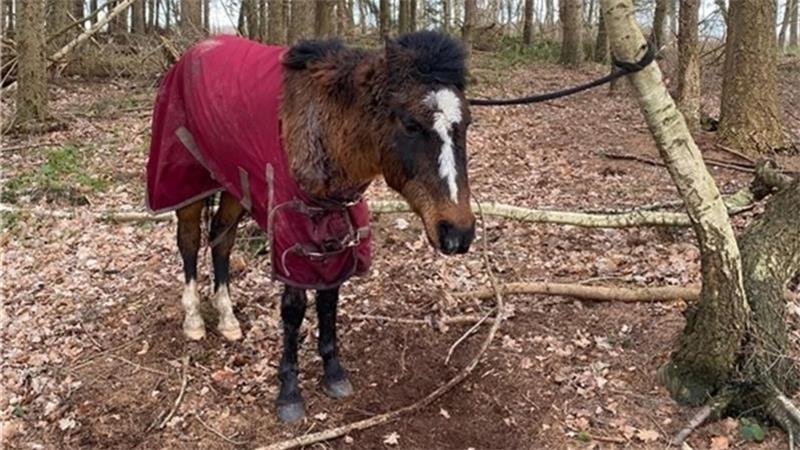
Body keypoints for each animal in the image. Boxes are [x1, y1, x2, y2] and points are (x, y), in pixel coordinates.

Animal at [145, 31, 475, 423]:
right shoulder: (292, 234)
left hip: (234, 183)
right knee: (190, 241)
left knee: (221, 240)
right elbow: (294, 308)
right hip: (188, 181)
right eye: (410, 124)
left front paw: (333, 373)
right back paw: (194, 319)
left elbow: (329, 299)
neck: (324, 131)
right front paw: (289, 392)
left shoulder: (336, 232)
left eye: (466, 124)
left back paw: (227, 319)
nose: (457, 233)